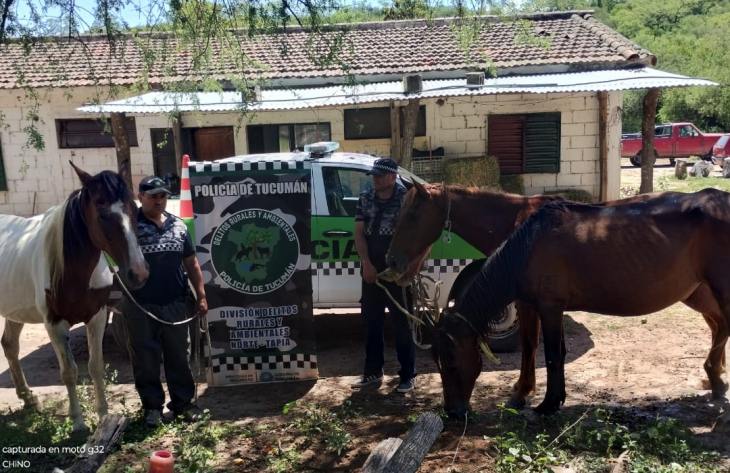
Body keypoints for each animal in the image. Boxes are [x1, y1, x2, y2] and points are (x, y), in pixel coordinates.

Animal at [0, 163, 149, 430]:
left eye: (134, 209)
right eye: (102, 213)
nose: (139, 273)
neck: (70, 270)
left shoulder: (97, 316)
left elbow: (96, 366)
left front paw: (103, 415)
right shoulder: (55, 324)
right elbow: (69, 372)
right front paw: (78, 422)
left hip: (15, 312)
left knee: (9, 346)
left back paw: (28, 398)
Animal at [429, 190, 730, 420]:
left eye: (451, 363)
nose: (453, 413)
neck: (530, 244)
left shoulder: (549, 307)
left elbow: (552, 355)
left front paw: (547, 404)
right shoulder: (551, 308)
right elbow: (554, 352)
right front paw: (552, 399)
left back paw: (714, 376)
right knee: (720, 325)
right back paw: (716, 379)